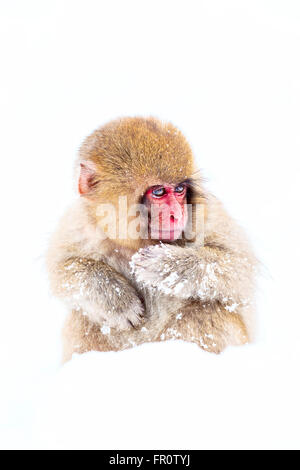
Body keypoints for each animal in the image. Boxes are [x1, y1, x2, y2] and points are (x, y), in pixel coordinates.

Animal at [47, 115, 255, 362]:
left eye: (179, 189)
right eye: (158, 192)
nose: (177, 215)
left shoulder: (207, 216)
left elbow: (240, 270)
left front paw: (167, 266)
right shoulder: (81, 221)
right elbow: (62, 270)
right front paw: (116, 300)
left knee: (207, 312)